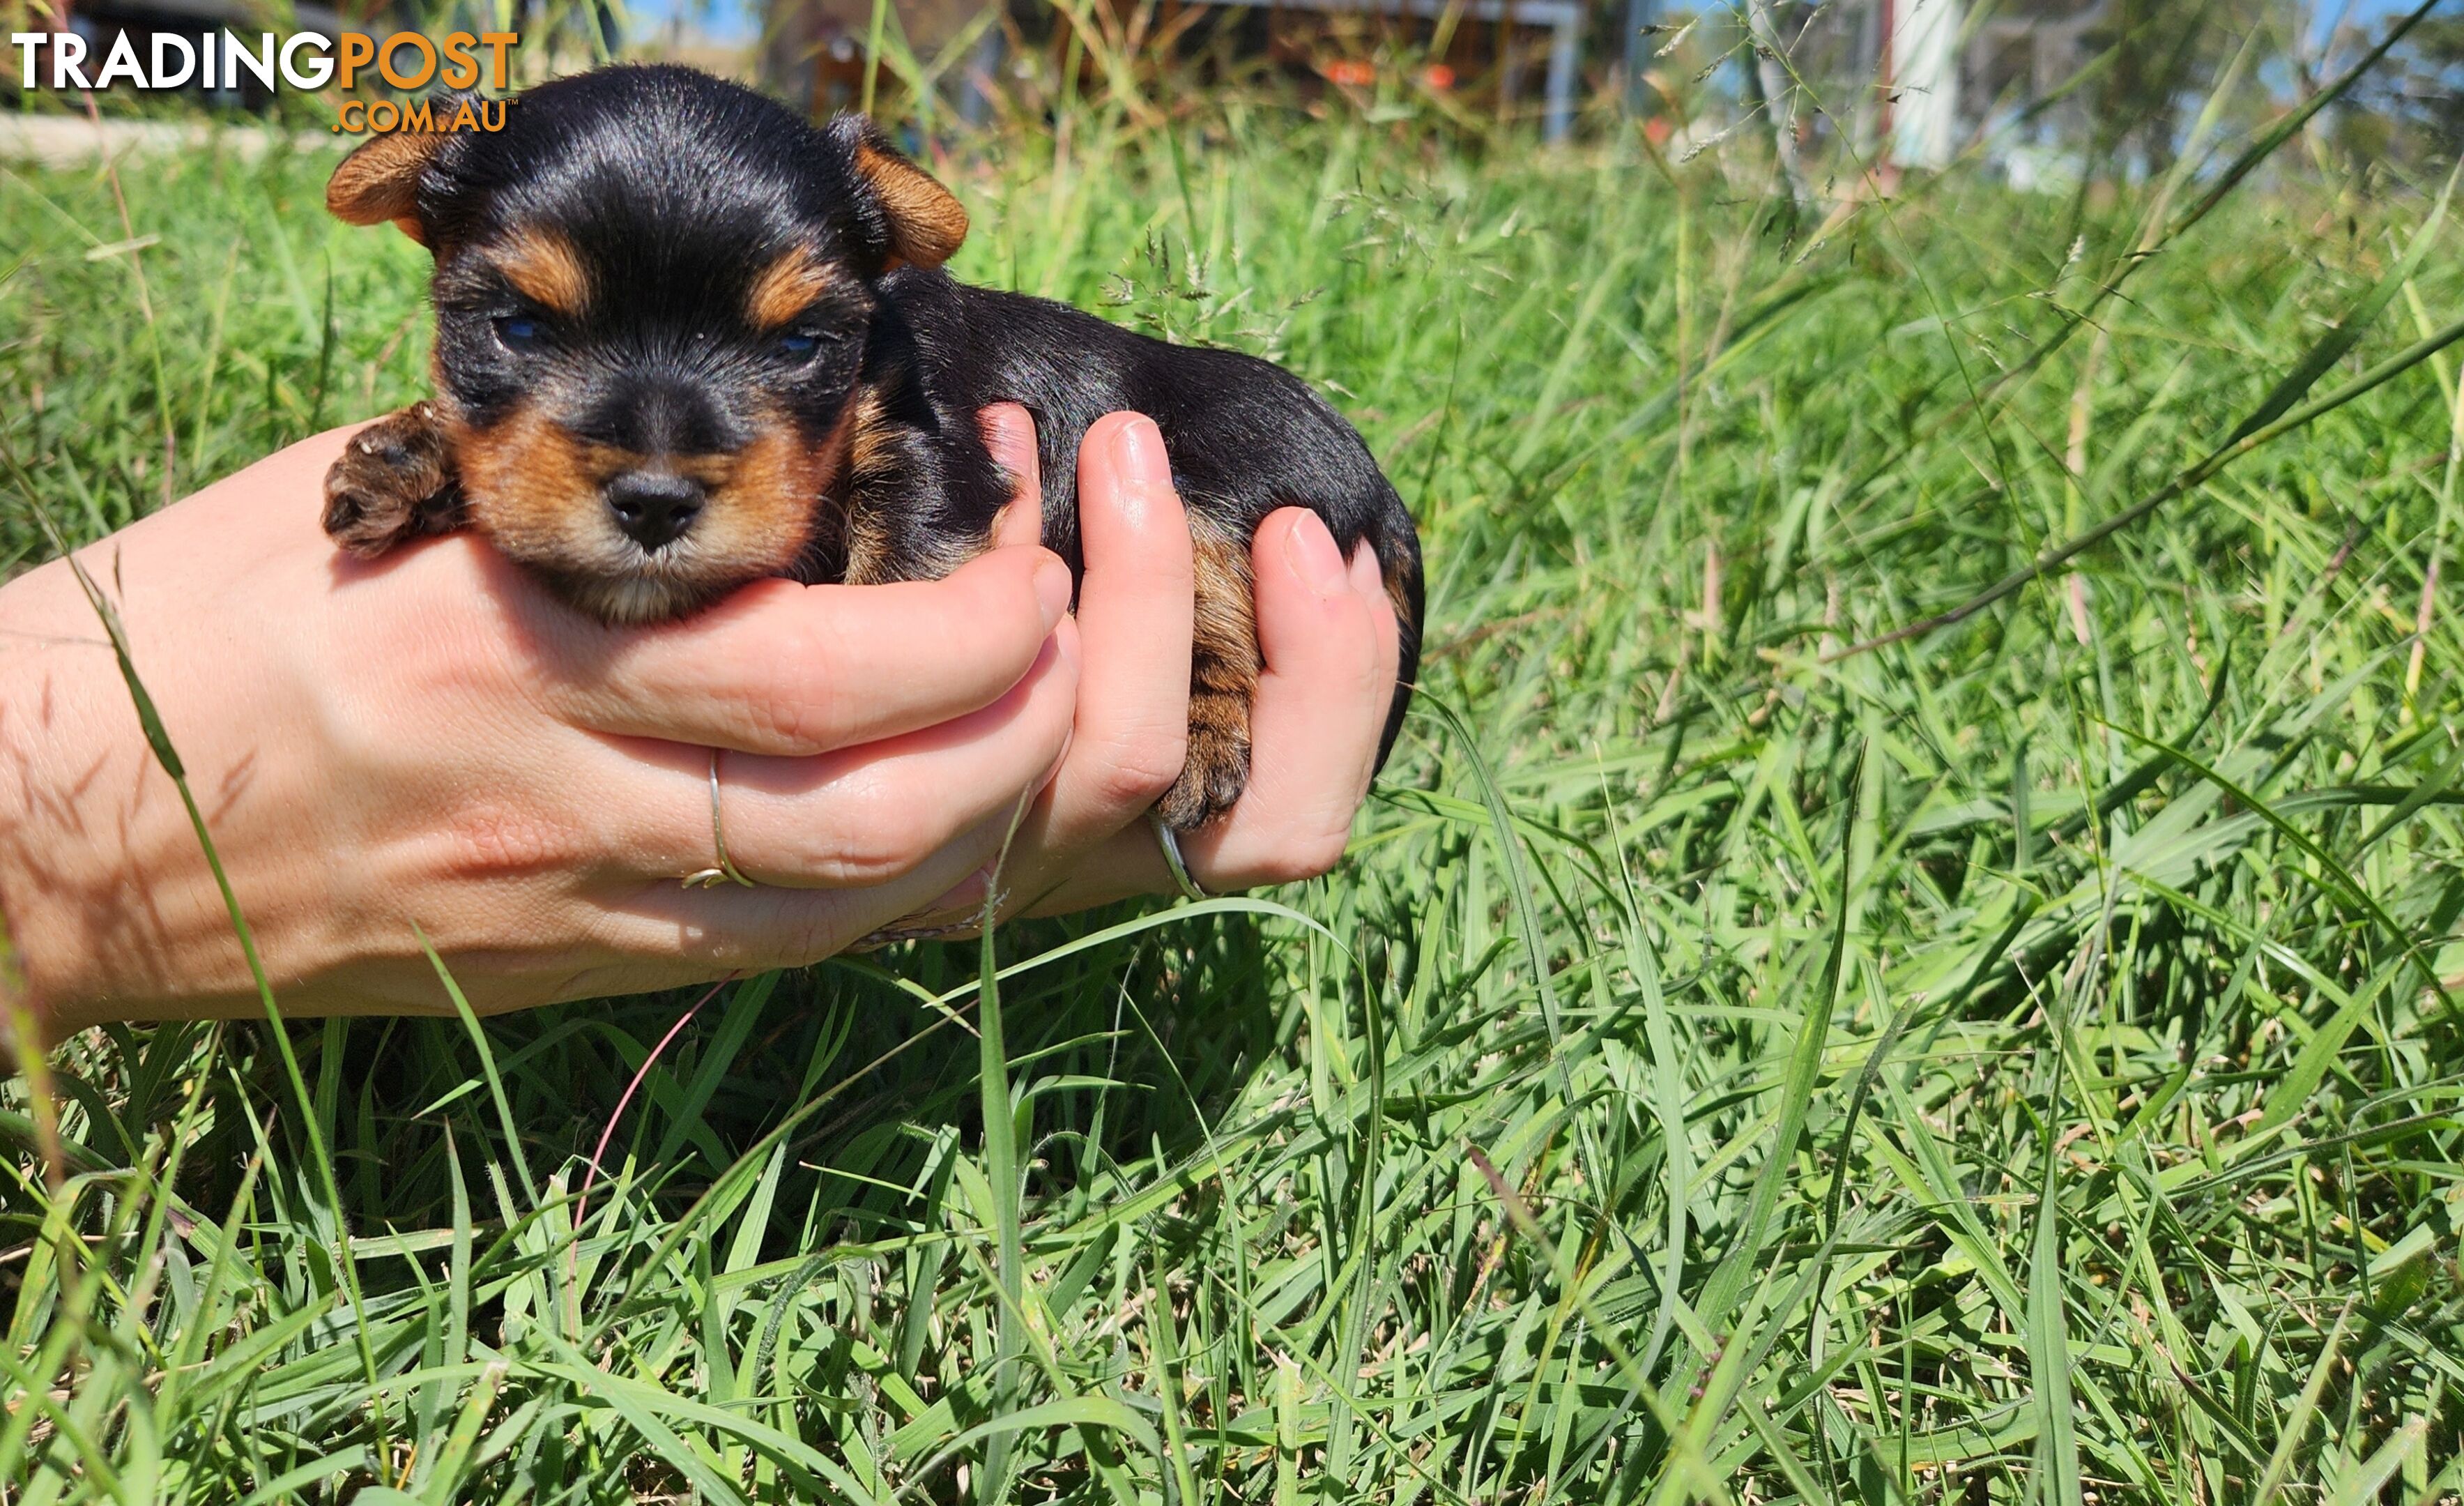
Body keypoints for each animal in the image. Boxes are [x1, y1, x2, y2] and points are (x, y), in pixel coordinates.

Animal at [323, 64, 1429, 832]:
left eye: (799, 344)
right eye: (516, 329)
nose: (654, 500)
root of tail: (1380, 488)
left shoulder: (926, 449)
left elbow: (902, 555)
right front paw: (407, 460)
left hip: (1227, 472)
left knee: (1219, 608)